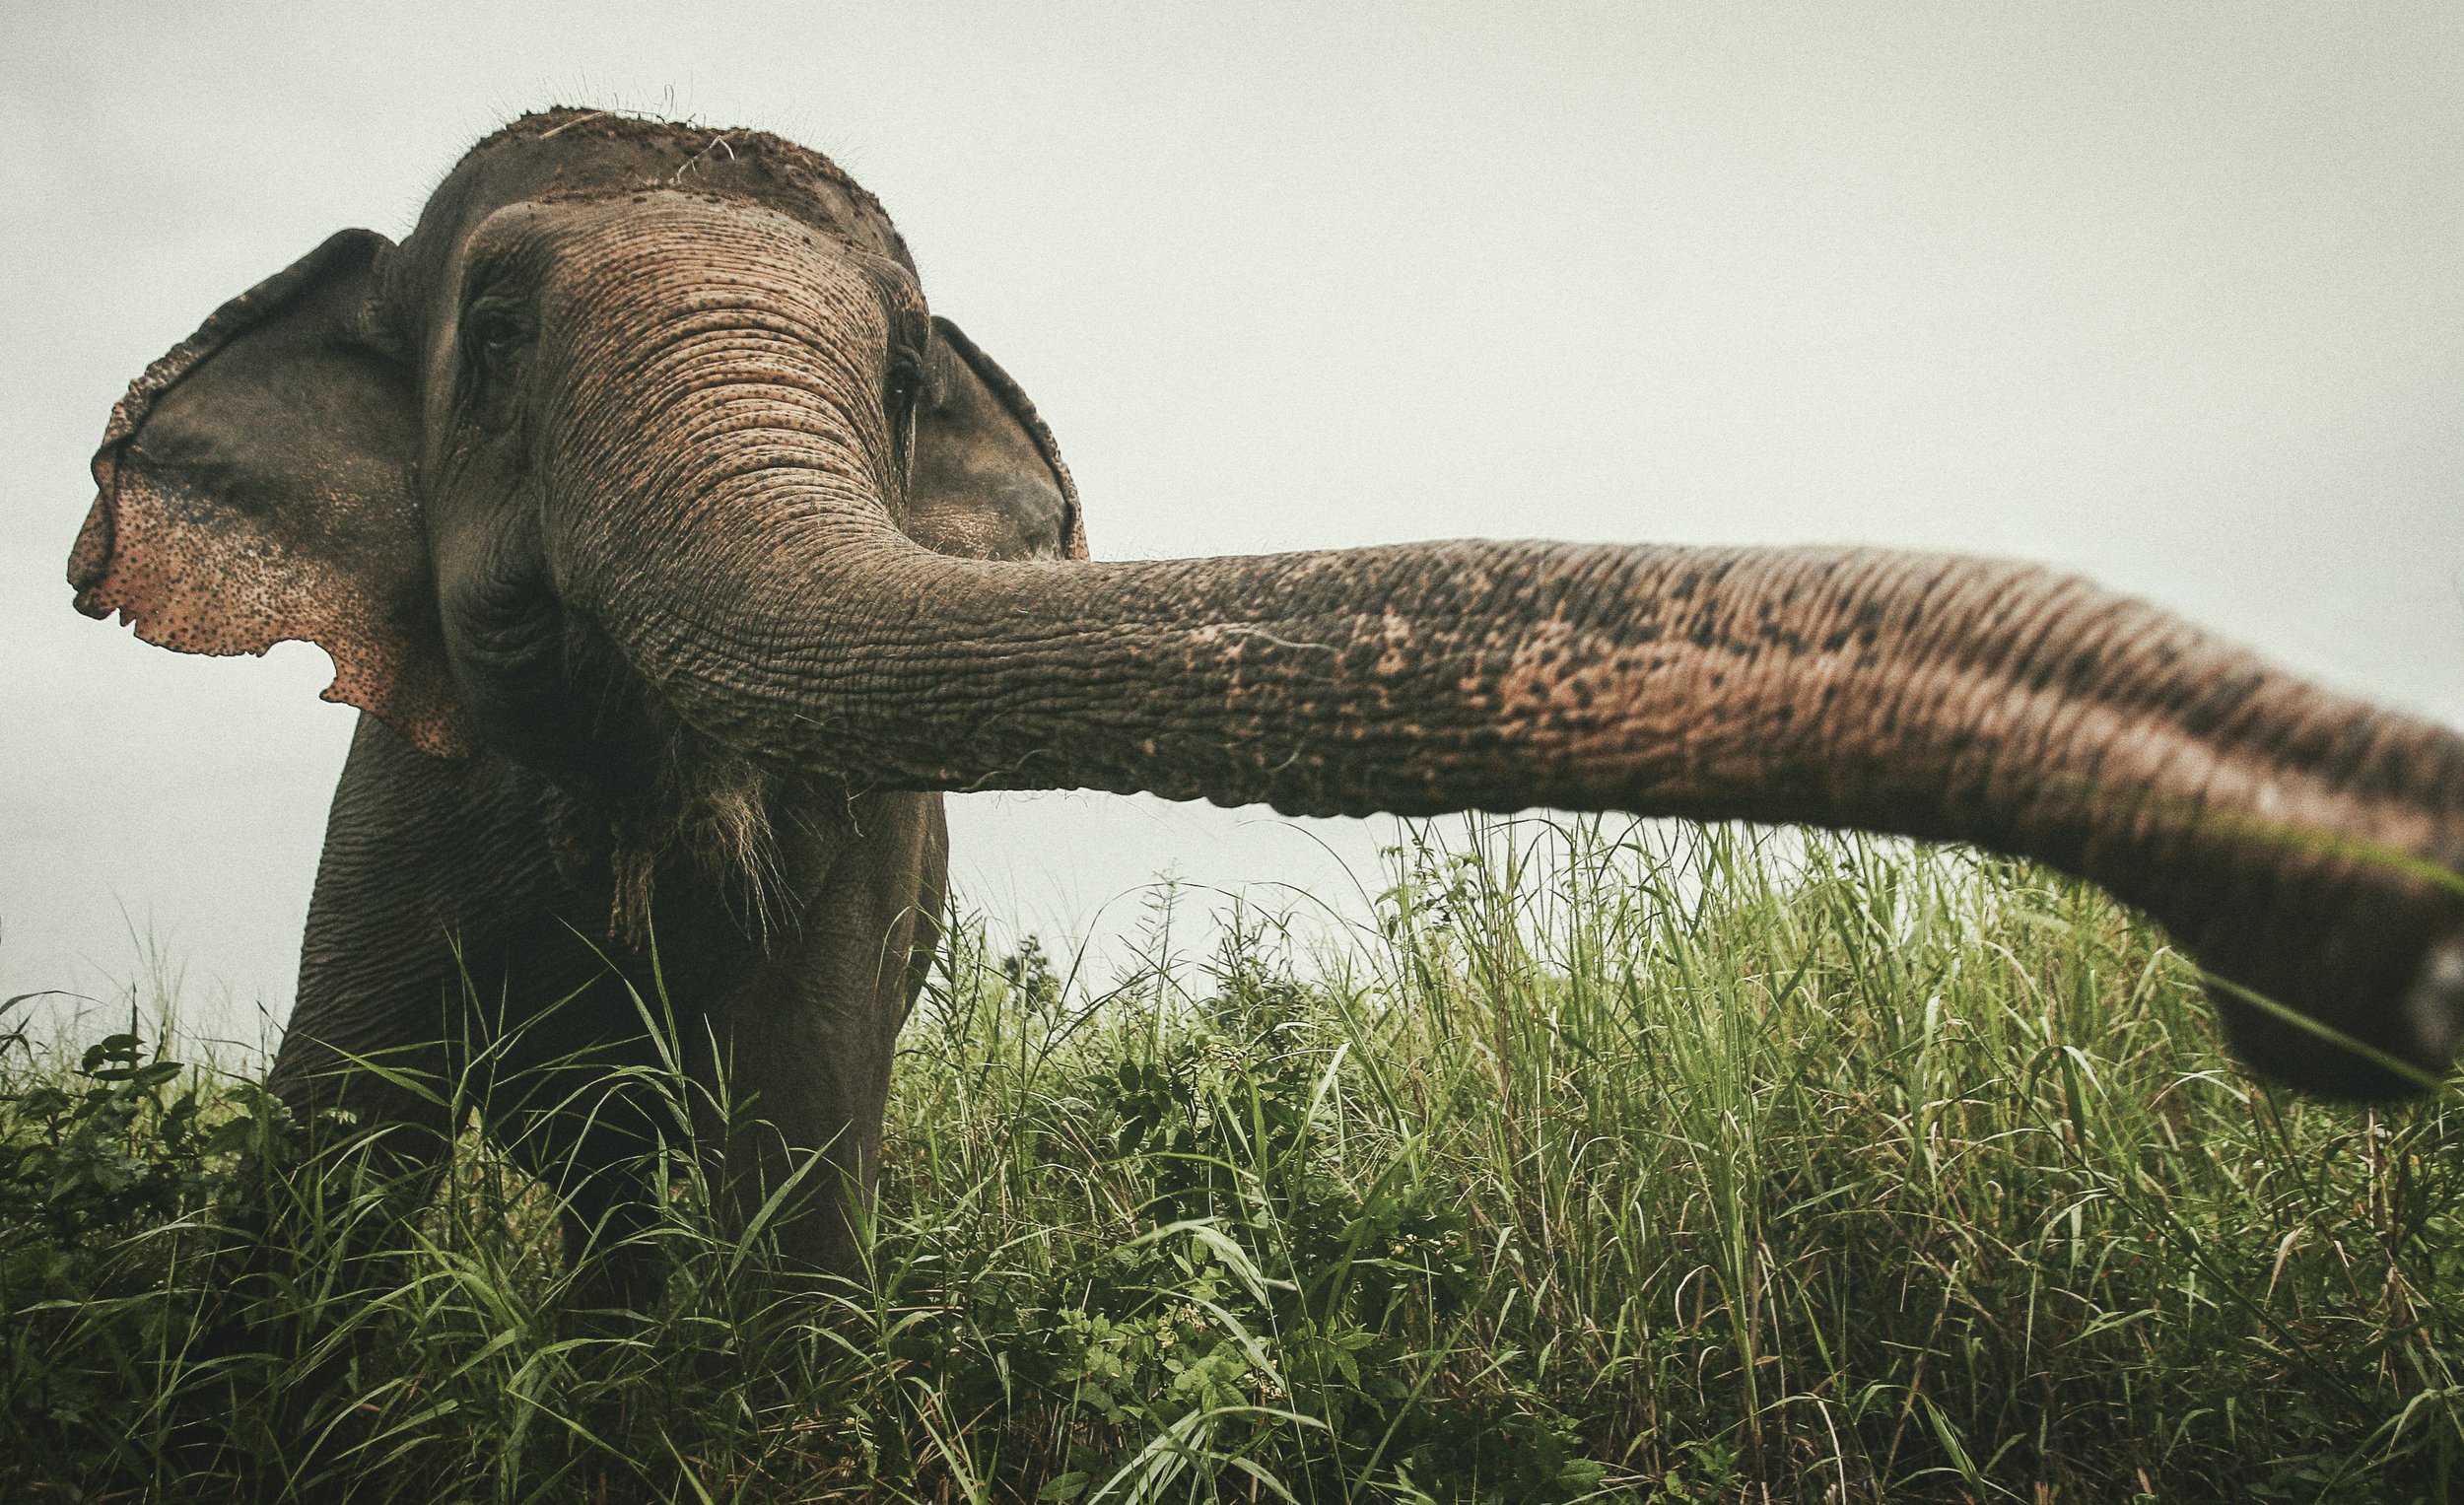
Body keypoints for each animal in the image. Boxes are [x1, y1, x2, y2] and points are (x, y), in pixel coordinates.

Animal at [65, 108, 2464, 1292]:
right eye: (491, 333)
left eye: (901, 371)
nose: (2364, 958)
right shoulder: (398, 806)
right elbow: (338, 1175)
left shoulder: (860, 870)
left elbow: (790, 1197)